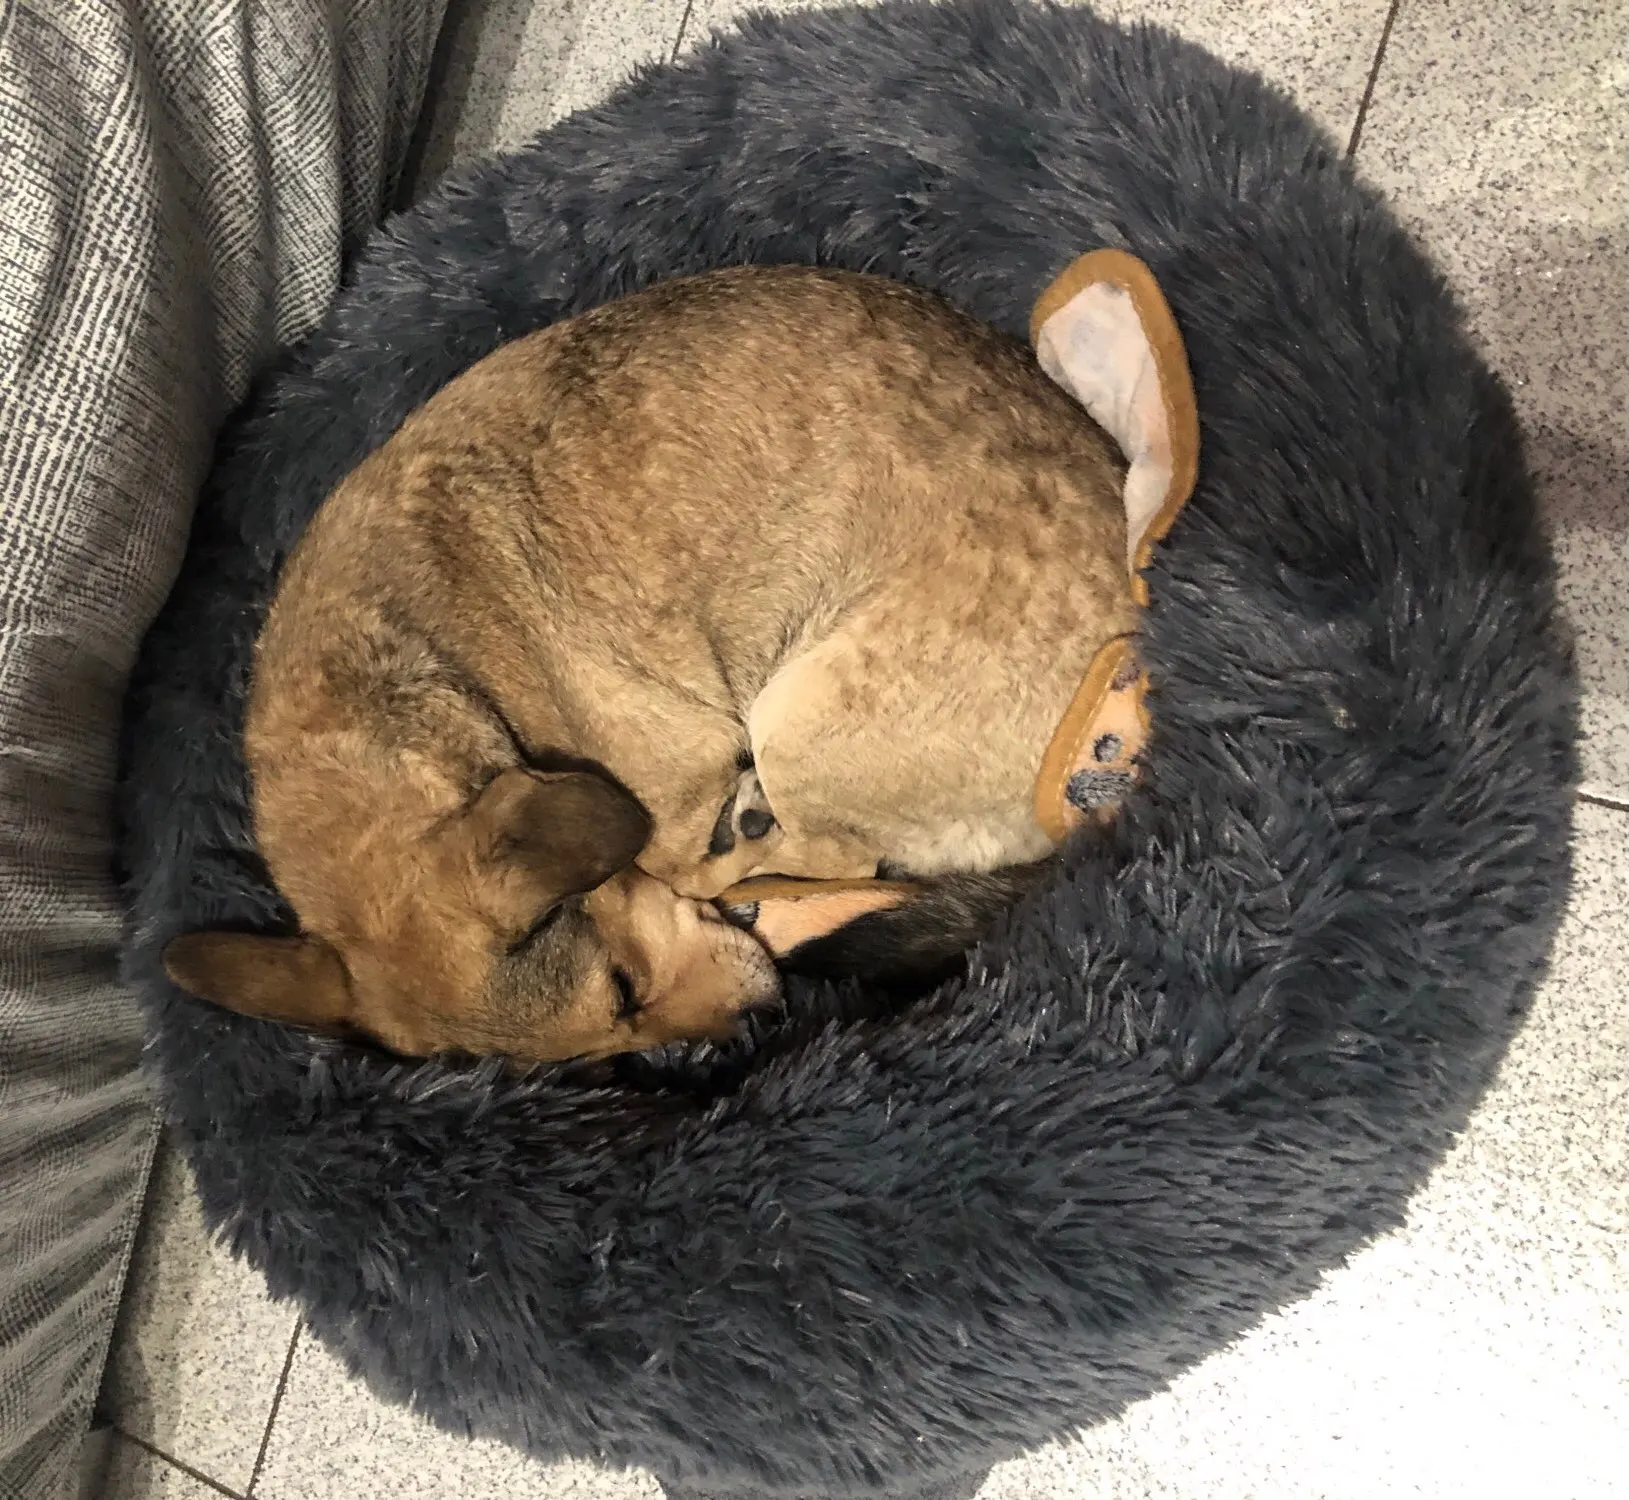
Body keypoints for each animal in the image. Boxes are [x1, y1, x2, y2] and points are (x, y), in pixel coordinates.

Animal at [162, 265, 1136, 1062]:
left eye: (622, 989)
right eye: (593, 1053)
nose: (754, 1029)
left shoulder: (676, 773)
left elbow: (678, 857)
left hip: (799, 721)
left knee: (840, 857)